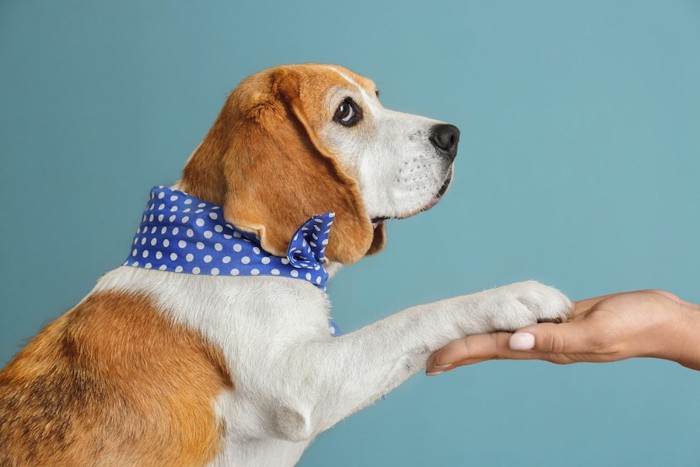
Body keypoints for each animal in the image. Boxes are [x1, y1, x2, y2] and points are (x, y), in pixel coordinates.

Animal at [0, 64, 568, 466]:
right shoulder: (301, 386)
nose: (452, 135)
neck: (245, 253)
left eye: (377, 96)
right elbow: (412, 318)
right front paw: (511, 296)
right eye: (347, 112)